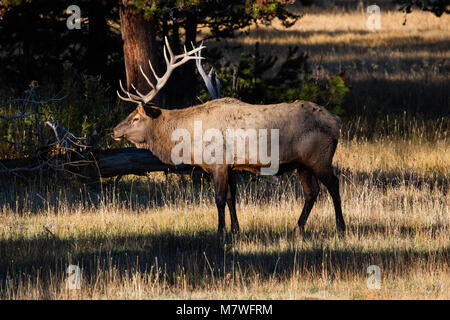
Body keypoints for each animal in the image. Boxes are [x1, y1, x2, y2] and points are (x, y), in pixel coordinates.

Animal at [114, 38, 346, 235]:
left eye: (135, 118)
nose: (115, 130)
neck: (189, 141)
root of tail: (337, 122)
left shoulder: (218, 163)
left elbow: (218, 199)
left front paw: (220, 231)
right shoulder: (231, 166)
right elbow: (231, 198)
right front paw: (235, 229)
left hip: (320, 157)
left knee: (333, 185)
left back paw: (340, 227)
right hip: (302, 163)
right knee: (312, 192)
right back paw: (297, 228)